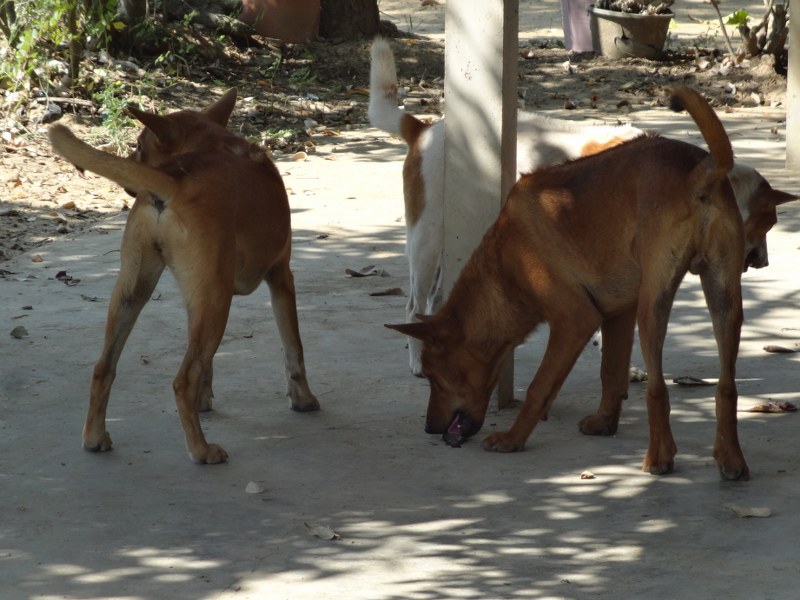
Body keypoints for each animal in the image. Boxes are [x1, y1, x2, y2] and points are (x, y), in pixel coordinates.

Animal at [47, 89, 318, 464]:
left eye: (139, 144)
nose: (130, 158)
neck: (215, 142)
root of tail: (175, 182)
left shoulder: (199, 298)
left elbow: (208, 365)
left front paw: (204, 400)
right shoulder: (281, 278)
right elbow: (294, 349)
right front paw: (303, 399)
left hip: (133, 293)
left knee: (104, 367)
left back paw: (95, 437)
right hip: (215, 302)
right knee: (182, 380)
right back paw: (201, 450)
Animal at [388, 88, 756, 482]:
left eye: (434, 377)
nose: (428, 428)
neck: (506, 261)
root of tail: (701, 171)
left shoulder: (575, 321)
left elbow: (538, 387)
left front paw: (513, 439)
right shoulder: (617, 314)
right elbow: (611, 371)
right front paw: (605, 422)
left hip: (653, 308)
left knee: (658, 387)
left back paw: (659, 457)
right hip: (724, 300)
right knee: (726, 386)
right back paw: (731, 459)